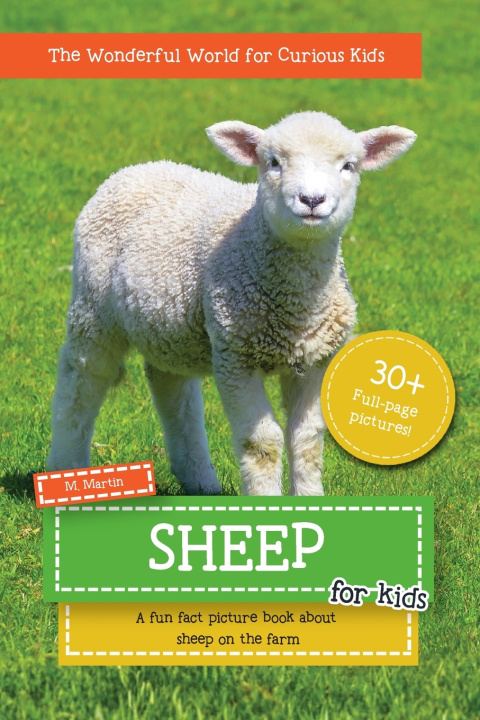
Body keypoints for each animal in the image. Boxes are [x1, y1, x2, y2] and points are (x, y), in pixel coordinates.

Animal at [48, 111, 416, 495]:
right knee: (82, 380)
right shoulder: (236, 357)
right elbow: (263, 443)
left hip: (170, 323)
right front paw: (266, 501)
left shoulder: (317, 358)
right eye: (273, 162)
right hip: (93, 306)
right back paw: (67, 468)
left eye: (348, 165)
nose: (312, 199)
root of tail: (136, 168)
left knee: (171, 386)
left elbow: (307, 440)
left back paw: (199, 479)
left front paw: (309, 499)